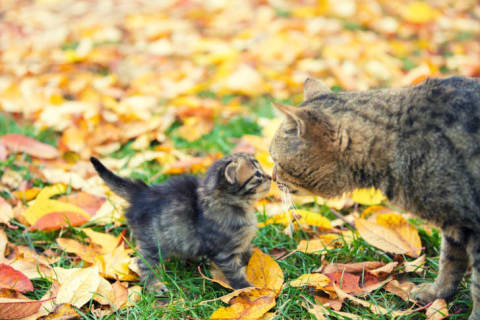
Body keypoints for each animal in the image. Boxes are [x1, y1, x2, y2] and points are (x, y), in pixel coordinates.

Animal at [90, 153, 270, 292]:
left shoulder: (242, 244)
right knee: (143, 262)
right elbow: (235, 273)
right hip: (153, 242)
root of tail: (142, 193)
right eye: (258, 175)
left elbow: (248, 253)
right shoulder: (224, 253)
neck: (240, 207)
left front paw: (260, 258)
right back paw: (155, 286)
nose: (270, 176)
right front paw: (248, 288)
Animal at [268, 76, 480, 318]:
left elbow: (477, 286)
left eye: (275, 159)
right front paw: (436, 294)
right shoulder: (455, 223)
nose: (270, 177)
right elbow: (449, 262)